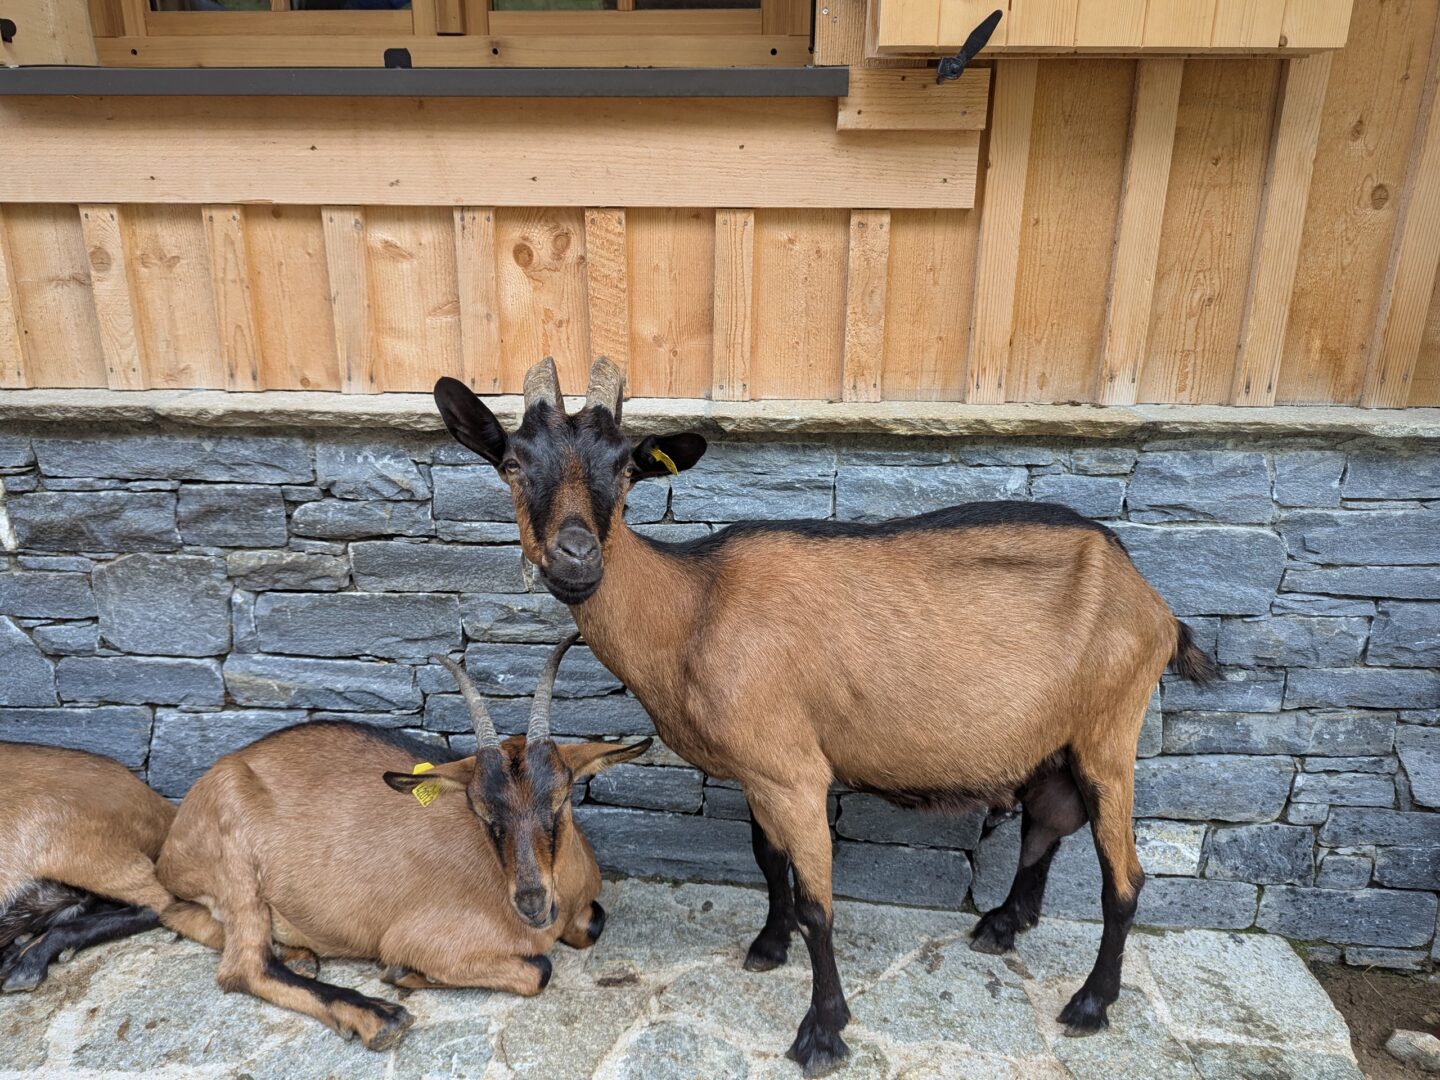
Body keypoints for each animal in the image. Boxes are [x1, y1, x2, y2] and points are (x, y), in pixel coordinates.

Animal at [155, 634, 651, 1049]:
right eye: (480, 810)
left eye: (561, 799)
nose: (530, 901)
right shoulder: (425, 938)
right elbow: (540, 969)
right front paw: (405, 973)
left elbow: (593, 923)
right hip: (237, 865)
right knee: (242, 967)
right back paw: (377, 1016)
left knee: (184, 916)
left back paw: (297, 954)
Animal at [432, 357, 1218, 1076]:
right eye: (510, 462)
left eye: (627, 468)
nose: (576, 559)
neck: (693, 608)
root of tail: (1155, 605)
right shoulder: (758, 769)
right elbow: (768, 860)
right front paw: (766, 947)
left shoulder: (795, 772)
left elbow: (818, 903)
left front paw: (822, 1032)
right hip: (1058, 737)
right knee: (1048, 819)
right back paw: (1001, 925)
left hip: (1110, 728)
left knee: (1125, 877)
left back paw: (1090, 1003)